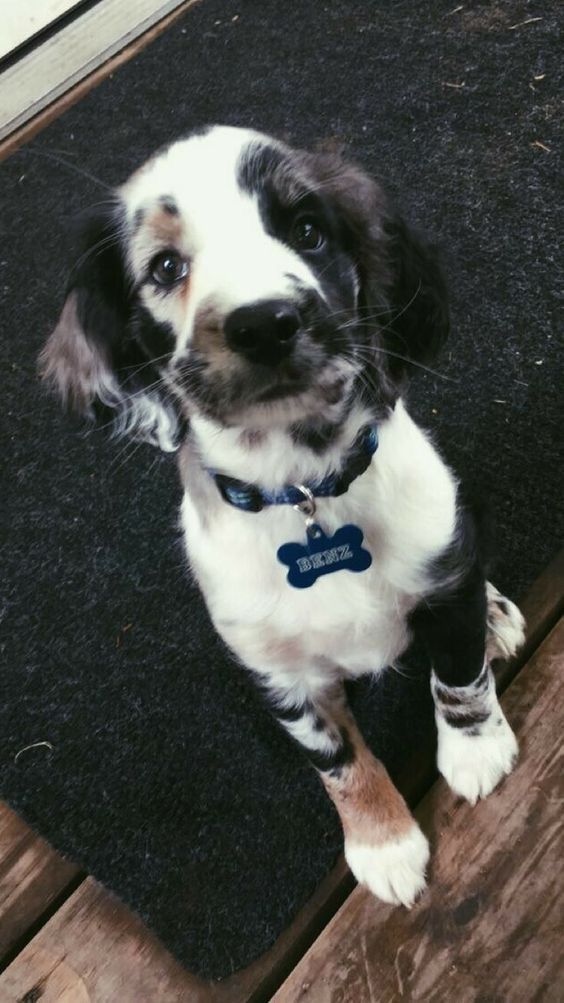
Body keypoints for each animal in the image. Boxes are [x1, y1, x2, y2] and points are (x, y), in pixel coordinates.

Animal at [40, 125, 525, 910]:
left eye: (307, 231)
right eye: (166, 266)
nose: (265, 324)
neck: (307, 492)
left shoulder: (442, 574)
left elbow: (458, 676)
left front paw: (476, 751)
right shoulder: (279, 672)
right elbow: (340, 762)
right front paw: (382, 841)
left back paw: (500, 614)